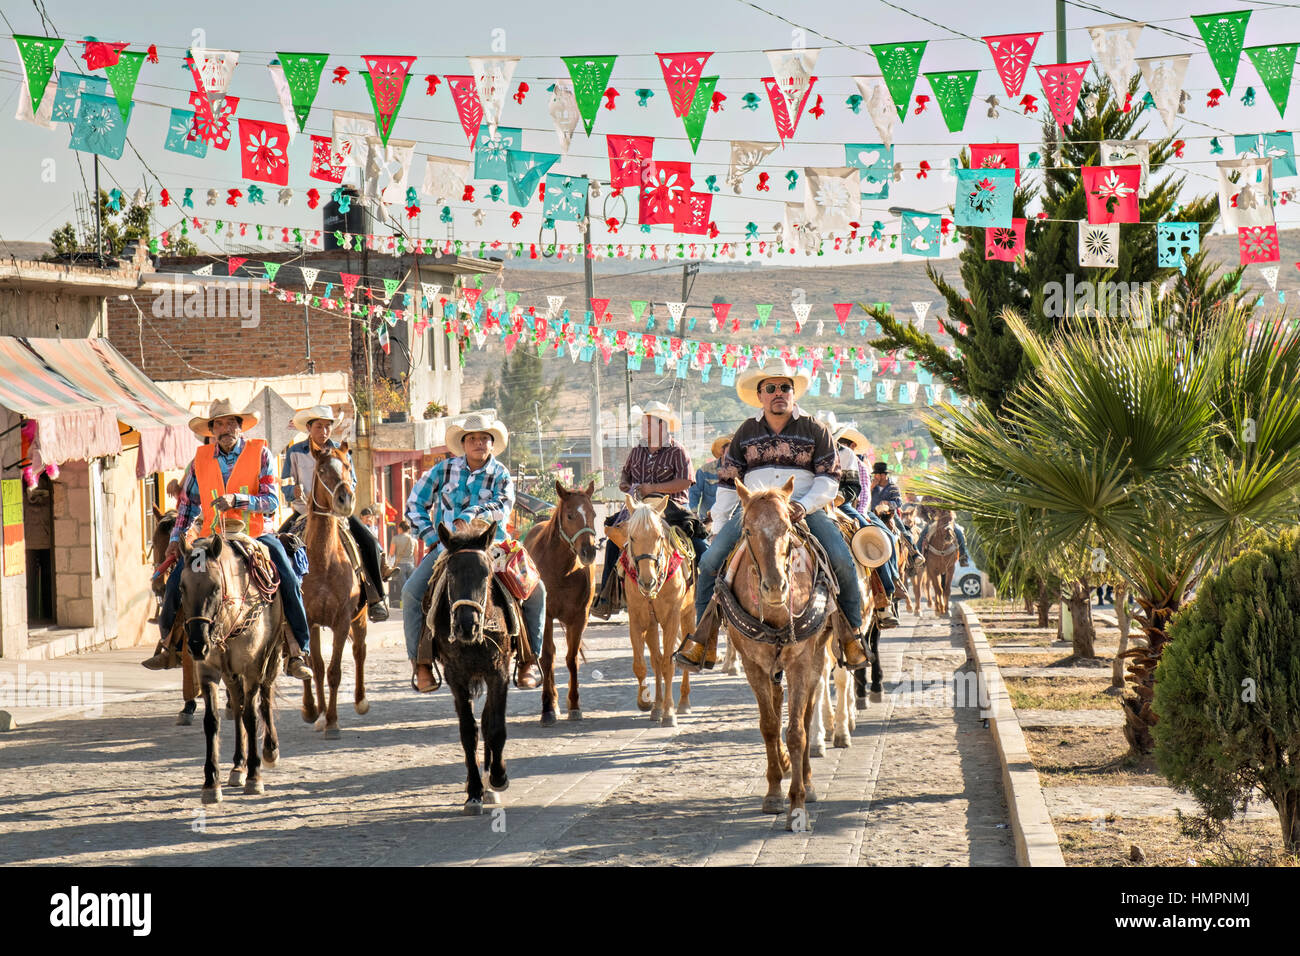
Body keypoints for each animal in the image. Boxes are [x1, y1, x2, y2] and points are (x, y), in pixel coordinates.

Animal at [179, 535, 286, 806]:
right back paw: (238, 766)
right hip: (230, 674)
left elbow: (251, 716)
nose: (197, 644)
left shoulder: (252, 669)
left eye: (216, 587)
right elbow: (212, 721)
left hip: (271, 657)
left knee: (263, 699)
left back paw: (269, 750)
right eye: (182, 588)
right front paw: (211, 782)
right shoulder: (207, 671)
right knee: (237, 708)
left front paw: (255, 776)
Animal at [431, 522, 512, 816]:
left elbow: (495, 727)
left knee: (489, 721)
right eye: (451, 573)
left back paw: (491, 782)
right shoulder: (456, 677)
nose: (467, 625)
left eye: (486, 573)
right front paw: (474, 791)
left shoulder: (498, 673)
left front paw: (497, 777)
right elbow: (468, 732)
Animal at [522, 478, 598, 723]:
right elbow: (547, 657)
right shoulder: (546, 616)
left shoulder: (580, 617)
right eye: (570, 515)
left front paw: (574, 704)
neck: (562, 570)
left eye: (593, 513)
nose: (589, 551)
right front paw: (548, 706)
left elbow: (572, 659)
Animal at [618, 496, 691, 728]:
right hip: (651, 623)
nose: (647, 581)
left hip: (689, 614)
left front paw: (669, 712)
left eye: (659, 537)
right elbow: (642, 665)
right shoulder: (637, 617)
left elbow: (668, 663)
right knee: (655, 660)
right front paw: (646, 702)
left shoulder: (672, 618)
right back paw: (657, 706)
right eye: (632, 537)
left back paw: (683, 702)